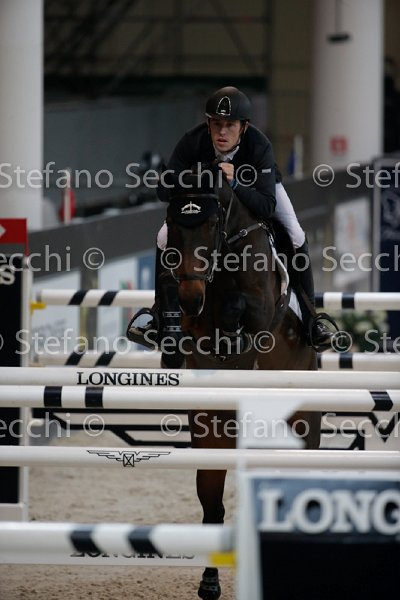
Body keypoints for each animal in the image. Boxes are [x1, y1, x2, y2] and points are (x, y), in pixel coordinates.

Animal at [163, 172, 320, 600]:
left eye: (212, 223)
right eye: (173, 225)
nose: (190, 296)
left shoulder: (262, 309)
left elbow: (238, 308)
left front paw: (232, 336)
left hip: (300, 426)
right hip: (213, 432)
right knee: (213, 505)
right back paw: (210, 582)